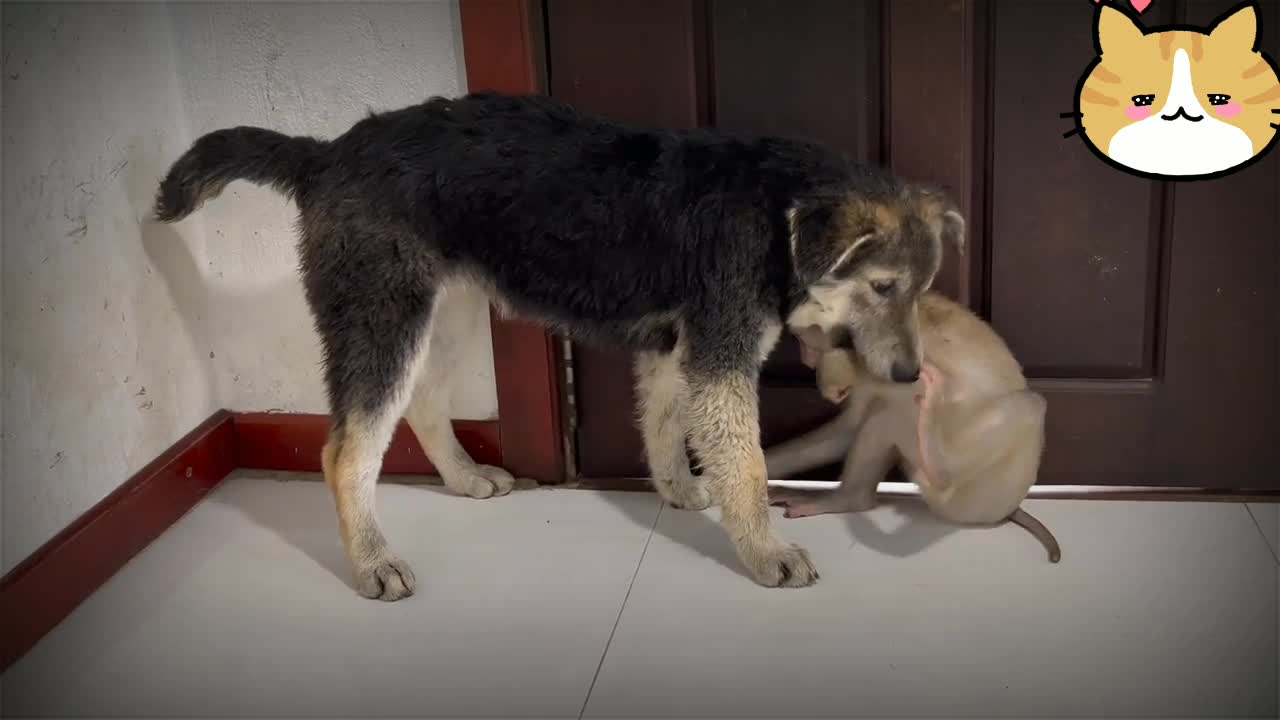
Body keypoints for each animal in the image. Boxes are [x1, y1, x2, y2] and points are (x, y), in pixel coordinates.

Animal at [152, 94, 962, 599]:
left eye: (920, 289)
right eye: (883, 286)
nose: (911, 375)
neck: (778, 211)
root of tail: (323, 155)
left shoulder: (675, 350)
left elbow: (665, 428)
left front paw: (676, 490)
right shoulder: (721, 355)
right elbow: (749, 467)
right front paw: (766, 553)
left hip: (442, 313)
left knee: (423, 402)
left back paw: (463, 477)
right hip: (381, 317)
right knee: (345, 452)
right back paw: (374, 562)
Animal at [768, 289, 1059, 561]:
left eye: (802, 340)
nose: (805, 359)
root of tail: (1009, 507)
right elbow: (851, 425)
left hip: (977, 498)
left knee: (1029, 407)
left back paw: (941, 469)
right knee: (884, 416)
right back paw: (850, 497)